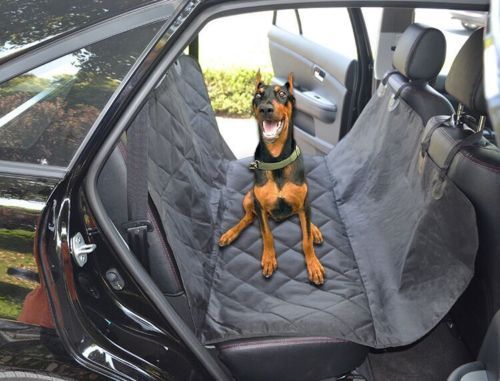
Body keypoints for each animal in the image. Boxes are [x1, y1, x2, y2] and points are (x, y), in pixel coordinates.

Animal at [217, 72, 326, 284]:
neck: (276, 161)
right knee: (248, 218)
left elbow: (306, 239)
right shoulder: (260, 206)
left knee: (305, 220)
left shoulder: (304, 202)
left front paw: (314, 266)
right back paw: (230, 233)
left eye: (282, 94)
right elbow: (267, 234)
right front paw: (268, 259)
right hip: (249, 197)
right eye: (258, 95)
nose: (265, 109)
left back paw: (315, 229)